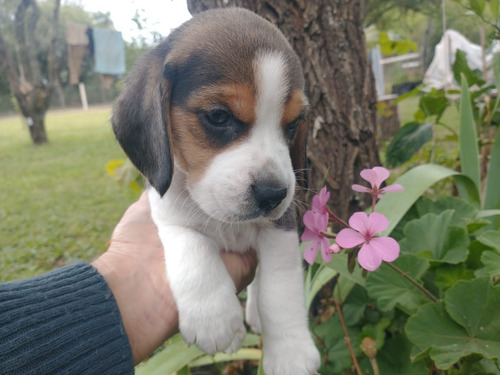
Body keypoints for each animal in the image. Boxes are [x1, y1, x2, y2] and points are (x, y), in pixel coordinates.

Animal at [111, 7, 320, 374]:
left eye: (293, 124)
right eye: (219, 116)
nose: (273, 194)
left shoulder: (282, 227)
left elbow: (279, 290)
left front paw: (290, 352)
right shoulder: (167, 214)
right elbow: (194, 250)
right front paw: (215, 320)